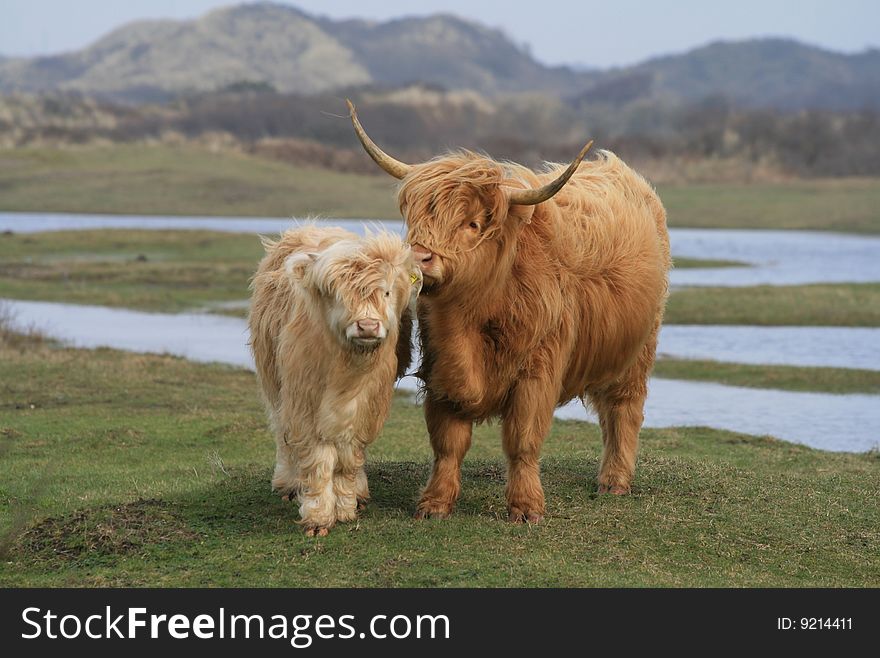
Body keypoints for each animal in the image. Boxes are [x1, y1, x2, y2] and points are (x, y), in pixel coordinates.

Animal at [249, 226, 422, 532]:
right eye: (337, 294)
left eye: (387, 291)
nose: (367, 326)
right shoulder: (304, 404)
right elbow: (317, 461)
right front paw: (318, 517)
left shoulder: (367, 407)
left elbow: (348, 460)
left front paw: (345, 506)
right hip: (275, 384)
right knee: (283, 437)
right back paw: (288, 484)